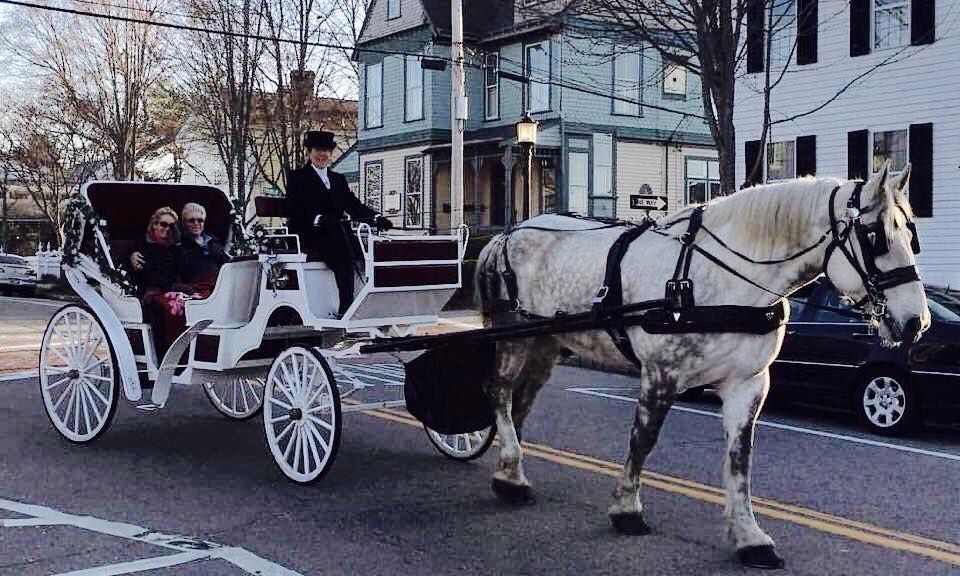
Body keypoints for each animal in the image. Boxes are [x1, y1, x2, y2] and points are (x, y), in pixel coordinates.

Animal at [476, 164, 928, 568]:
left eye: (912, 235)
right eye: (876, 236)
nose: (916, 322)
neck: (728, 279)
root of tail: (507, 234)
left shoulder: (748, 383)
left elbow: (740, 458)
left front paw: (749, 537)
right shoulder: (661, 374)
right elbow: (643, 441)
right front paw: (627, 509)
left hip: (546, 345)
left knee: (521, 403)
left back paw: (509, 474)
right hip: (514, 336)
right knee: (499, 392)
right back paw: (511, 467)